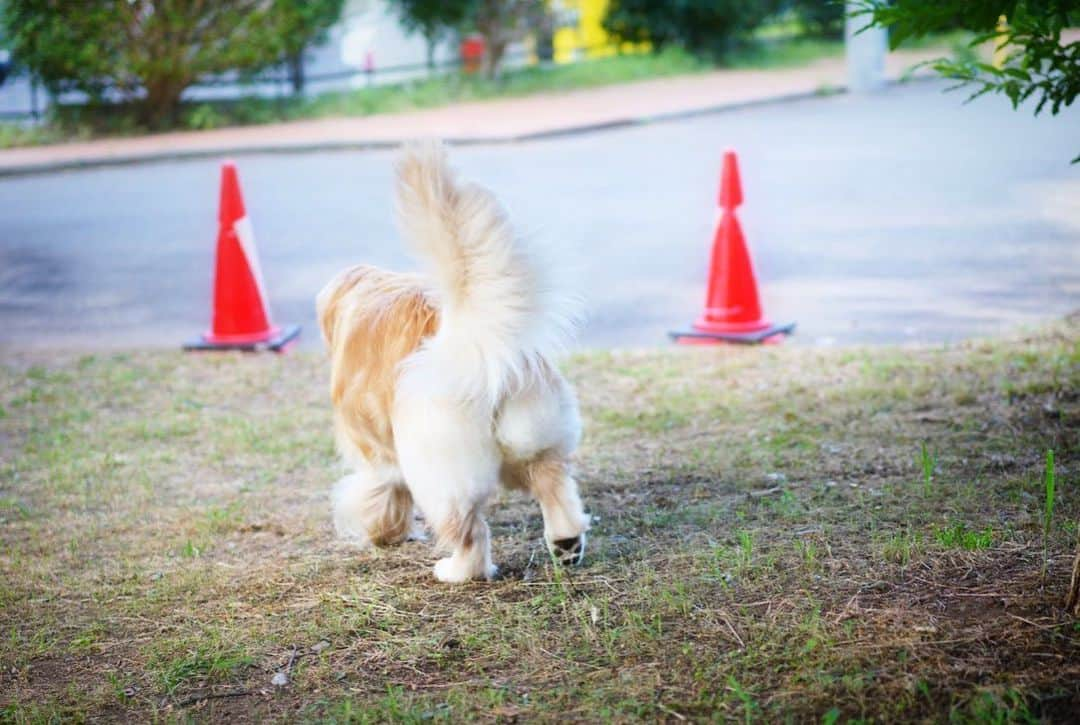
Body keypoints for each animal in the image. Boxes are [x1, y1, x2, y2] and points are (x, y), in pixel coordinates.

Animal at [315, 141, 591, 583]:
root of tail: (473, 340)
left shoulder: (373, 451)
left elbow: (381, 493)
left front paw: (384, 533)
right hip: (537, 441)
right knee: (554, 487)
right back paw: (566, 544)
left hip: (442, 475)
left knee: (470, 532)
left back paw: (457, 570)